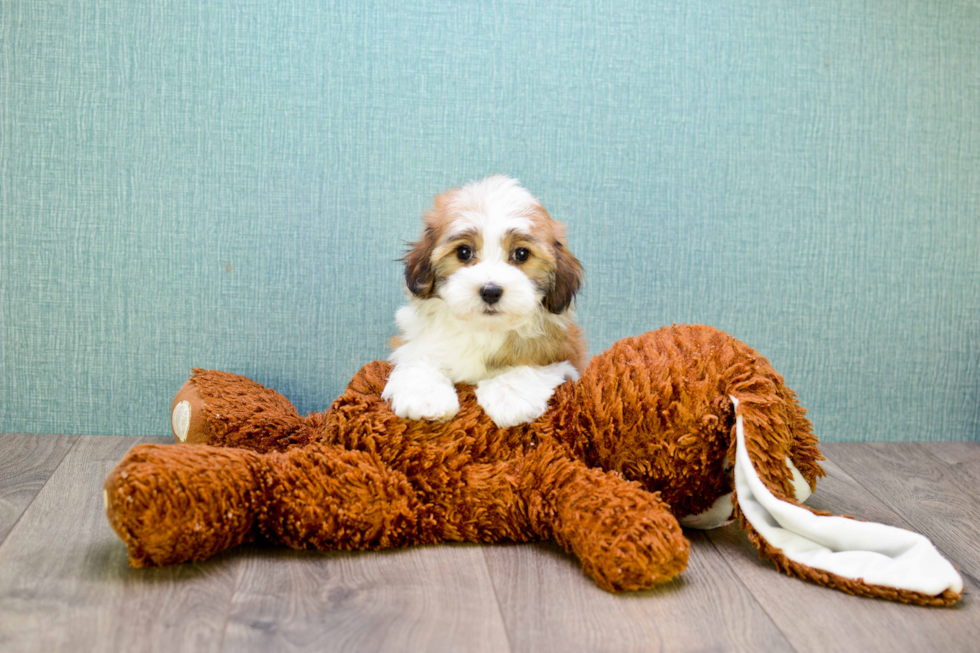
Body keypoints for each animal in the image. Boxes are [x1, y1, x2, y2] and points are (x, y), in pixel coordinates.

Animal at [380, 173, 580, 428]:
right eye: (464, 252)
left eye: (521, 254)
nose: (491, 291)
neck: (484, 329)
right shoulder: (414, 339)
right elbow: (418, 356)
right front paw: (426, 397)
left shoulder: (565, 358)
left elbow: (531, 366)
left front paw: (509, 396)